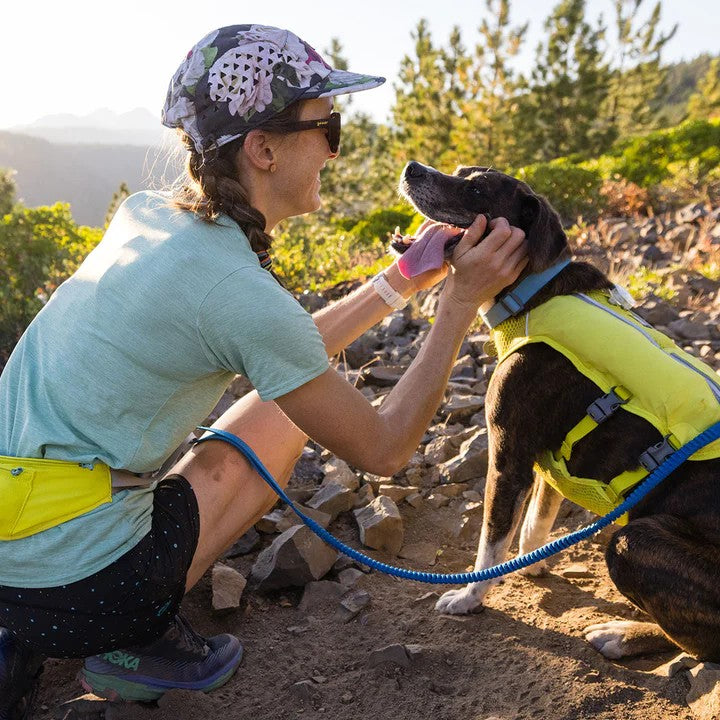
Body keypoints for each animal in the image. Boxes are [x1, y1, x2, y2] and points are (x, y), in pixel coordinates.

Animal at [396, 160, 720, 660]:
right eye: (460, 171)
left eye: (477, 188)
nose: (412, 168)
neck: (534, 290)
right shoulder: (548, 462)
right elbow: (535, 522)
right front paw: (530, 563)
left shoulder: (508, 458)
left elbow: (491, 541)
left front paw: (471, 597)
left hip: (632, 540)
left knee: (702, 645)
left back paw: (621, 634)